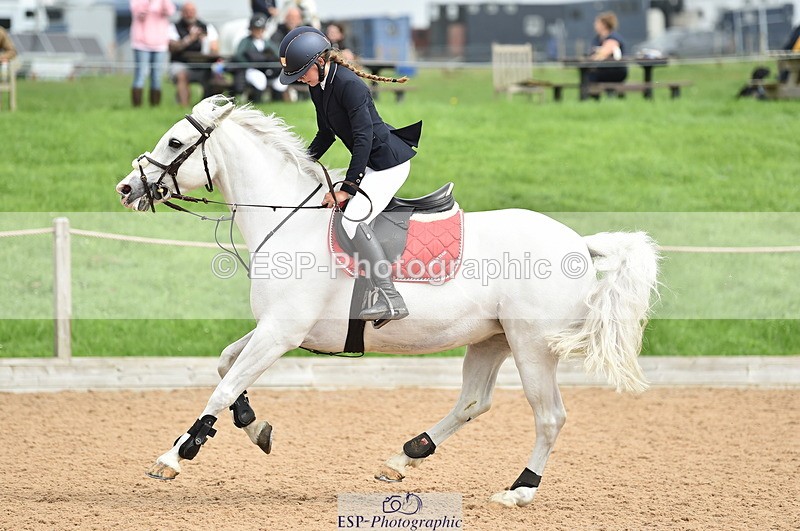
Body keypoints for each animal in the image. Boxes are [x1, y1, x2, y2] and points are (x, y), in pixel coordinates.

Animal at [115, 96, 659, 507]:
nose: (126, 188)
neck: (289, 219)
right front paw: (255, 427)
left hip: (533, 346)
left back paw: (520, 490)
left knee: (549, 416)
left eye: (175, 143)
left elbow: (223, 388)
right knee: (473, 402)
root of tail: (579, 241)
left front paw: (175, 456)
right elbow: (227, 366)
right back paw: (404, 457)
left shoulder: (281, 331)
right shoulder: (274, 327)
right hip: (492, 340)